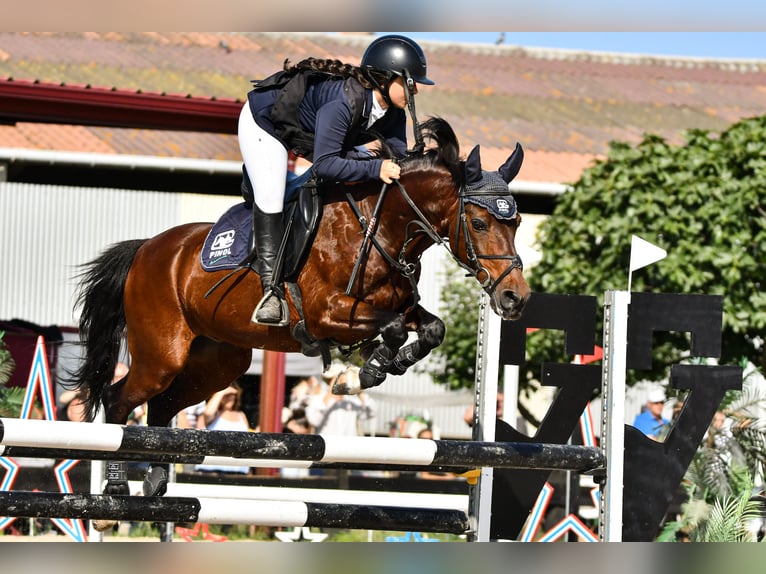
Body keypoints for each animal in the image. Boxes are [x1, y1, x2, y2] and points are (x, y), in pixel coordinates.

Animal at [72, 117, 532, 532]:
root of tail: (146, 249)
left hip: (218, 362)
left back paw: (155, 478)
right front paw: (358, 374)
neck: (381, 227)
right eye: (479, 223)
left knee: (163, 406)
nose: (516, 298)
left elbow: (431, 329)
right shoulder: (329, 312)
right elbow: (393, 330)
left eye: (517, 223)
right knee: (119, 399)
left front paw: (371, 370)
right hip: (162, 354)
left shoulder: (402, 305)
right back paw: (115, 495)